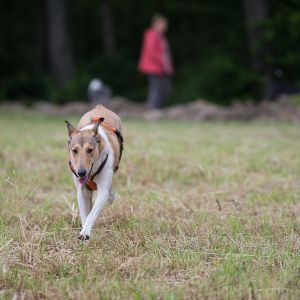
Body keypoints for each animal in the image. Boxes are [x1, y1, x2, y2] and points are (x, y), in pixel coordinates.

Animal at [64, 105, 123, 239]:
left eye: (90, 150)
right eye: (74, 150)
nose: (81, 172)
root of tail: (100, 106)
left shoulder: (103, 191)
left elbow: (92, 213)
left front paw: (85, 233)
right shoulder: (81, 191)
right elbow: (85, 214)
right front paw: (83, 230)